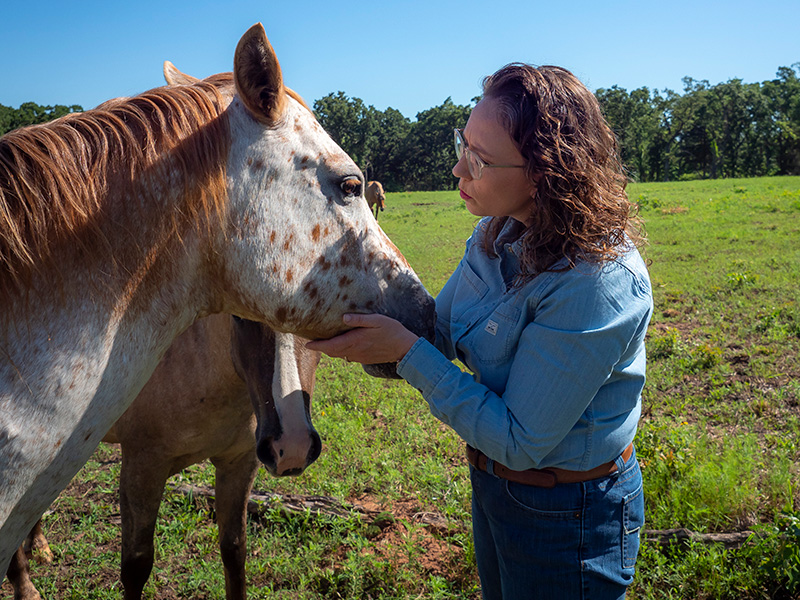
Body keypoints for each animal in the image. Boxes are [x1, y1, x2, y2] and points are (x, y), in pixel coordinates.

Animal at [5, 313, 321, 600]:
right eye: (240, 317)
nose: (292, 445)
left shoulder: (239, 463)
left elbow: (234, 550)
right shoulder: (143, 470)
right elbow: (136, 565)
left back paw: (40, 546)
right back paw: (26, 587)